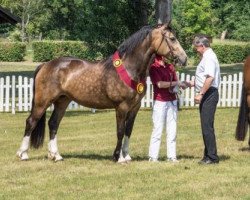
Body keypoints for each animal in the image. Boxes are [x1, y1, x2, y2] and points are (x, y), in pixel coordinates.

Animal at [16, 24, 187, 163]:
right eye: (172, 38)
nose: (184, 58)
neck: (130, 68)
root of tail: (46, 64)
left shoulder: (134, 107)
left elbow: (128, 131)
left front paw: (126, 155)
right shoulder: (122, 107)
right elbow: (120, 131)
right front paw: (118, 157)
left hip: (62, 101)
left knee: (53, 124)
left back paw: (56, 155)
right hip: (42, 101)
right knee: (31, 121)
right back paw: (23, 154)